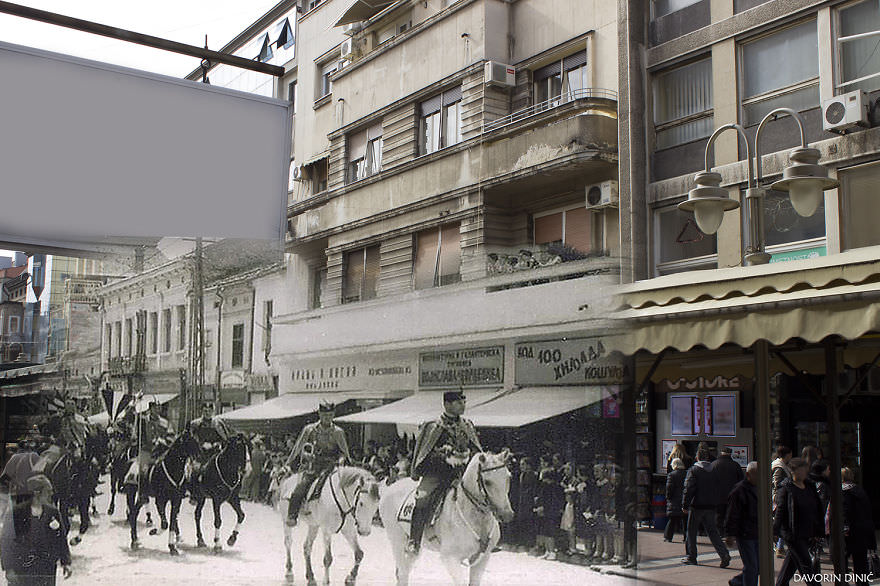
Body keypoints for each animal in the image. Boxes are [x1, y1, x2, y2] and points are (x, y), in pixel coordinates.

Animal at [124, 424, 199, 552]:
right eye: (189, 440)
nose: (199, 456)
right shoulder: (160, 500)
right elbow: (165, 524)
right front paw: (154, 531)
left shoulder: (176, 500)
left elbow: (172, 522)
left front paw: (172, 546)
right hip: (133, 493)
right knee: (133, 513)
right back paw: (134, 541)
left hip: (142, 495)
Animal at [378, 452, 516, 584]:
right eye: (487, 481)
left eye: (508, 478)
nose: (507, 515)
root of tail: (390, 488)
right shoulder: (450, 559)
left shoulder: (482, 559)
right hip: (397, 540)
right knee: (402, 573)